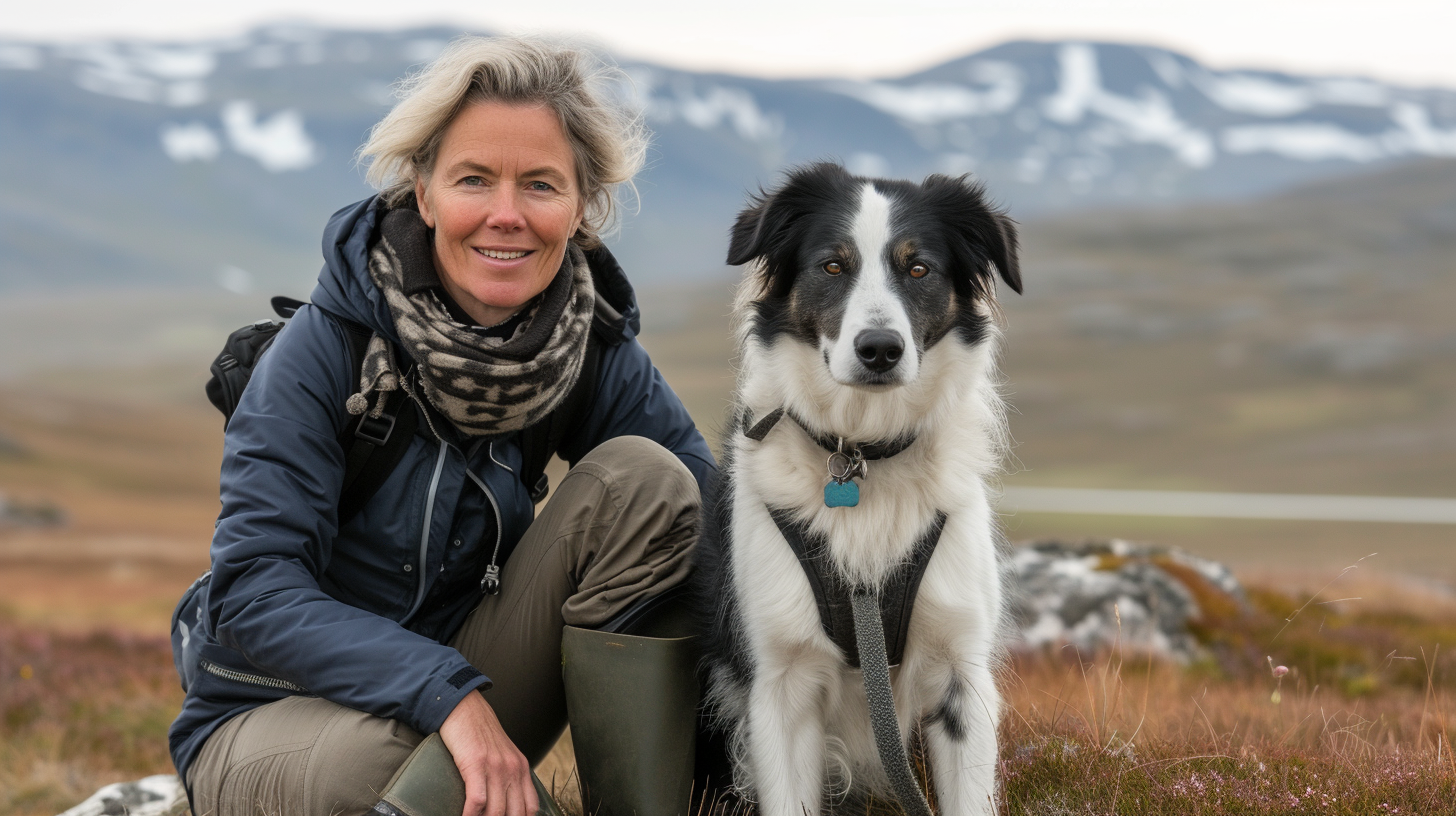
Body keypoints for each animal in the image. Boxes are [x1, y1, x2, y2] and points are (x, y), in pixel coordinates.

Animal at [695, 162, 1019, 810]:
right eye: (832, 266)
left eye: (918, 268)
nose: (880, 350)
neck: (862, 455)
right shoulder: (781, 685)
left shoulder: (961, 678)